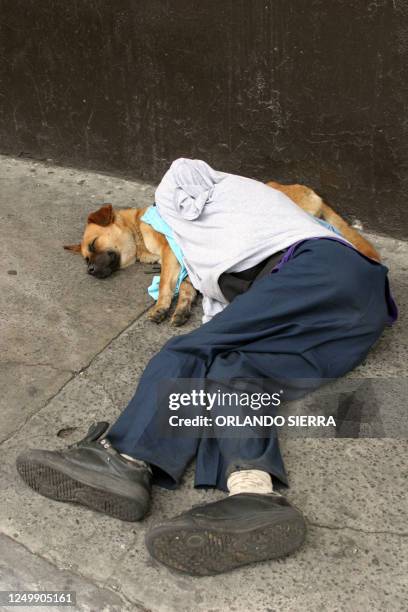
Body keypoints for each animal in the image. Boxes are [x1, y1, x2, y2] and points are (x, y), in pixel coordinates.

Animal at [63, 180, 380, 326]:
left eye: (93, 245)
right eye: (86, 257)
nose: (89, 271)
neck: (140, 228)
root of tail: (307, 189)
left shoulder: (172, 253)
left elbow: (165, 285)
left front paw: (161, 307)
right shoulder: (188, 263)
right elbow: (186, 289)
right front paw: (181, 310)